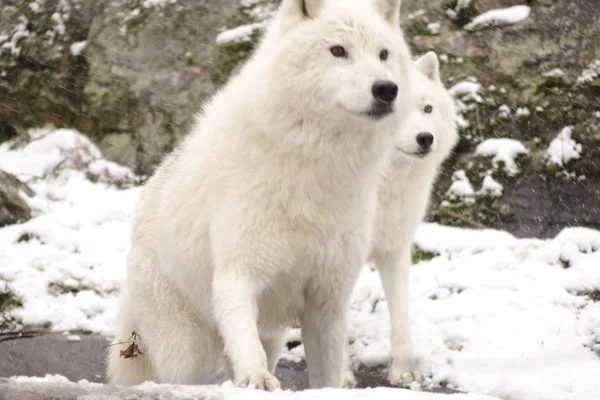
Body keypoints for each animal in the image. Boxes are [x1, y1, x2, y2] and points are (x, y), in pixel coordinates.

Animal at [108, 0, 414, 390]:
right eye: (338, 51)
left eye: (383, 54)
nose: (386, 89)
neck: (316, 170)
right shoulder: (237, 275)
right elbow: (246, 344)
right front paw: (256, 379)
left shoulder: (328, 299)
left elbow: (328, 374)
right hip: (186, 349)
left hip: (271, 335)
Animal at [344, 50, 458, 388]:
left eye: (427, 108)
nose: (425, 138)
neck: (385, 188)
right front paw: (338, 374)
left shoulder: (395, 252)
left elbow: (400, 316)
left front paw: (404, 369)